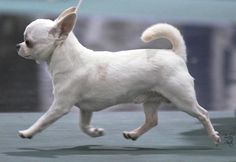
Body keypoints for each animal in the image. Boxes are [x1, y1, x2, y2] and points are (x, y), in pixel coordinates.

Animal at [16, 6, 221, 145]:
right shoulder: (85, 109)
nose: (18, 46)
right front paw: (95, 132)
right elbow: (83, 125)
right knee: (152, 120)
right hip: (151, 100)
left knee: (203, 114)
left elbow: (43, 120)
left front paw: (28, 132)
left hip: (182, 100)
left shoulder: (60, 106)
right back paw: (133, 134)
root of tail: (176, 54)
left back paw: (213, 136)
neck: (69, 59)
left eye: (29, 42)